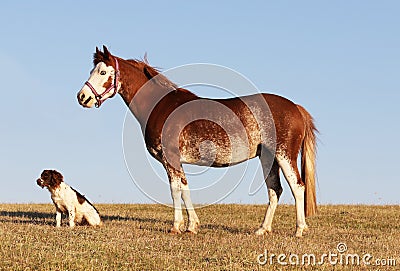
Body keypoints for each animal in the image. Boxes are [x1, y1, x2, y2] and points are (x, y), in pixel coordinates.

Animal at [76, 45, 318, 237]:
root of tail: (295, 107)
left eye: (103, 72)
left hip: (284, 156)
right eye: (92, 71)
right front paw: (192, 226)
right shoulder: (176, 162)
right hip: (268, 158)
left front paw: (176, 226)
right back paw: (262, 229)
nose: (82, 97)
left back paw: (299, 229)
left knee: (297, 187)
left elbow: (175, 190)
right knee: (274, 190)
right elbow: (185, 190)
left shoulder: (171, 159)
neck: (160, 105)